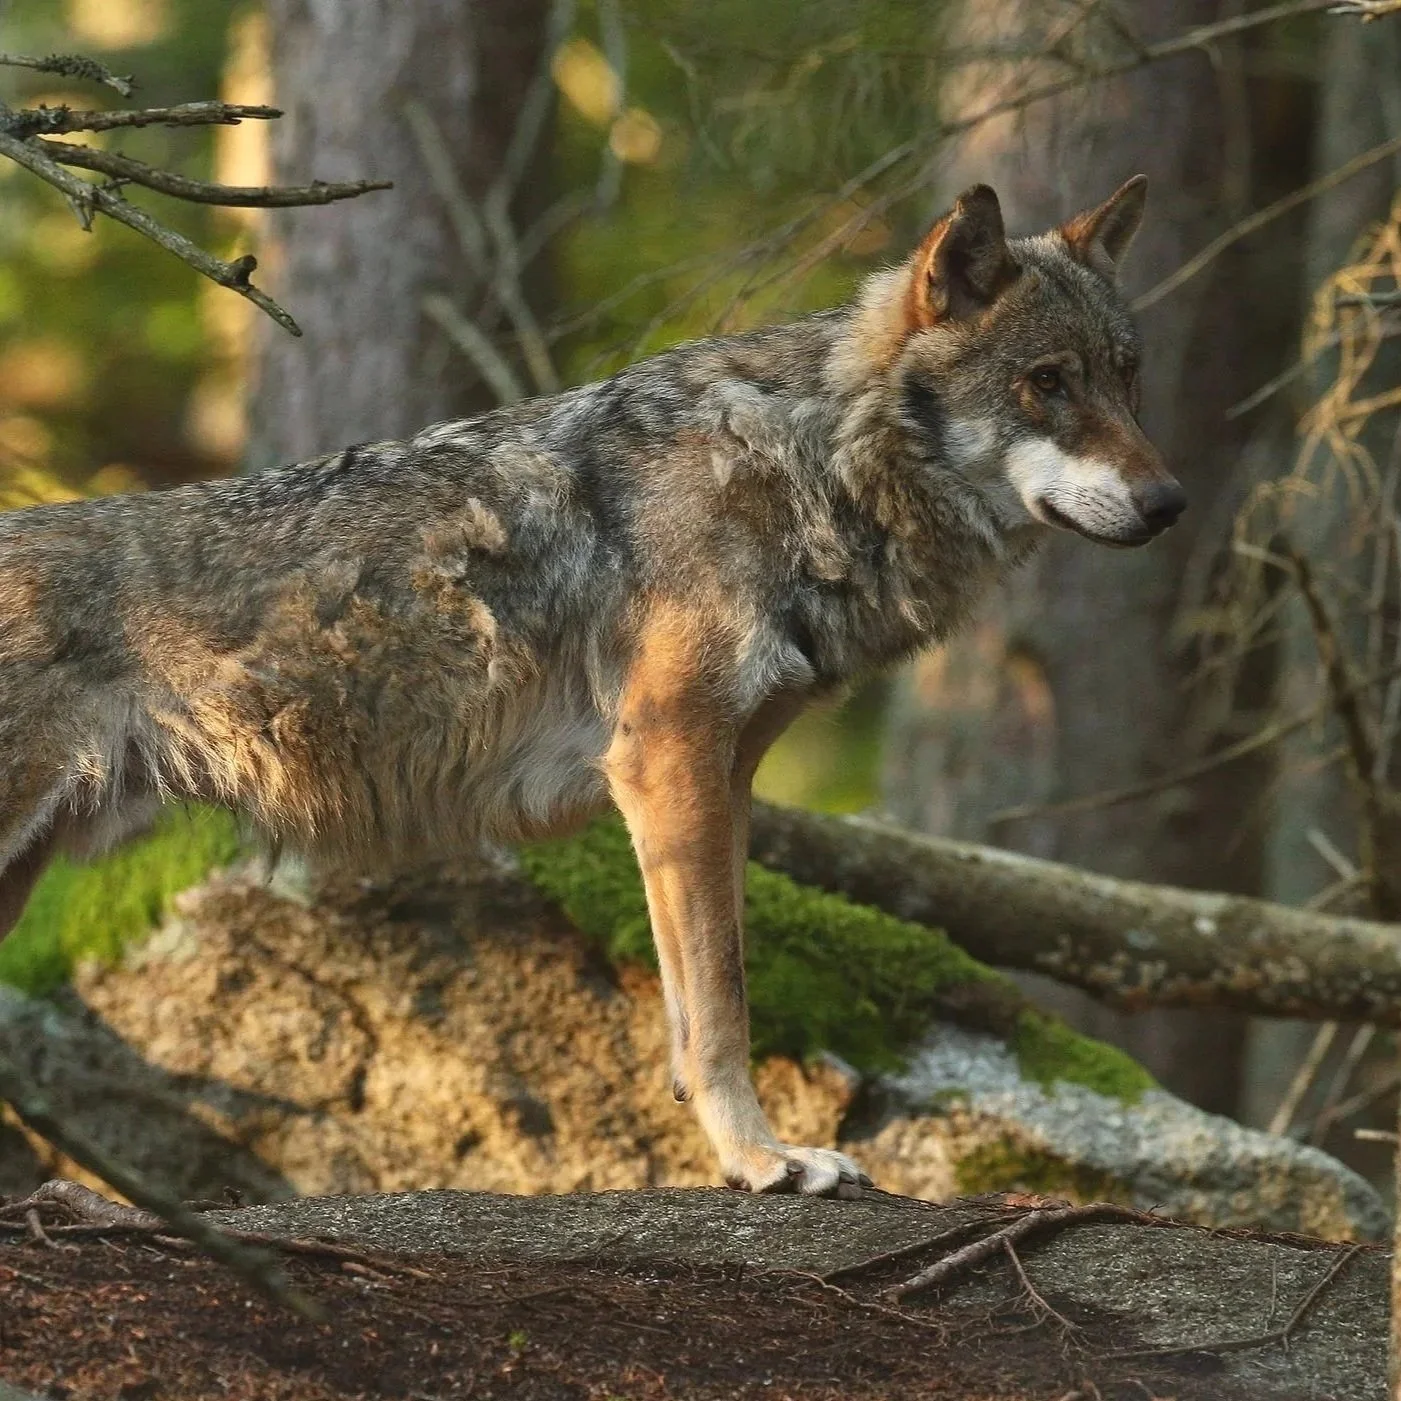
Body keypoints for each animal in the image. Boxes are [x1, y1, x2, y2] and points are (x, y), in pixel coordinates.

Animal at [0, 176, 1181, 1197]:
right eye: (1047, 381)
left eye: (1129, 379)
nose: (1171, 502)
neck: (803, 463)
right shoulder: (667, 761)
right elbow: (723, 1003)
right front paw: (762, 1162)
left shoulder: (721, 780)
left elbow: (698, 998)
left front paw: (735, 1149)